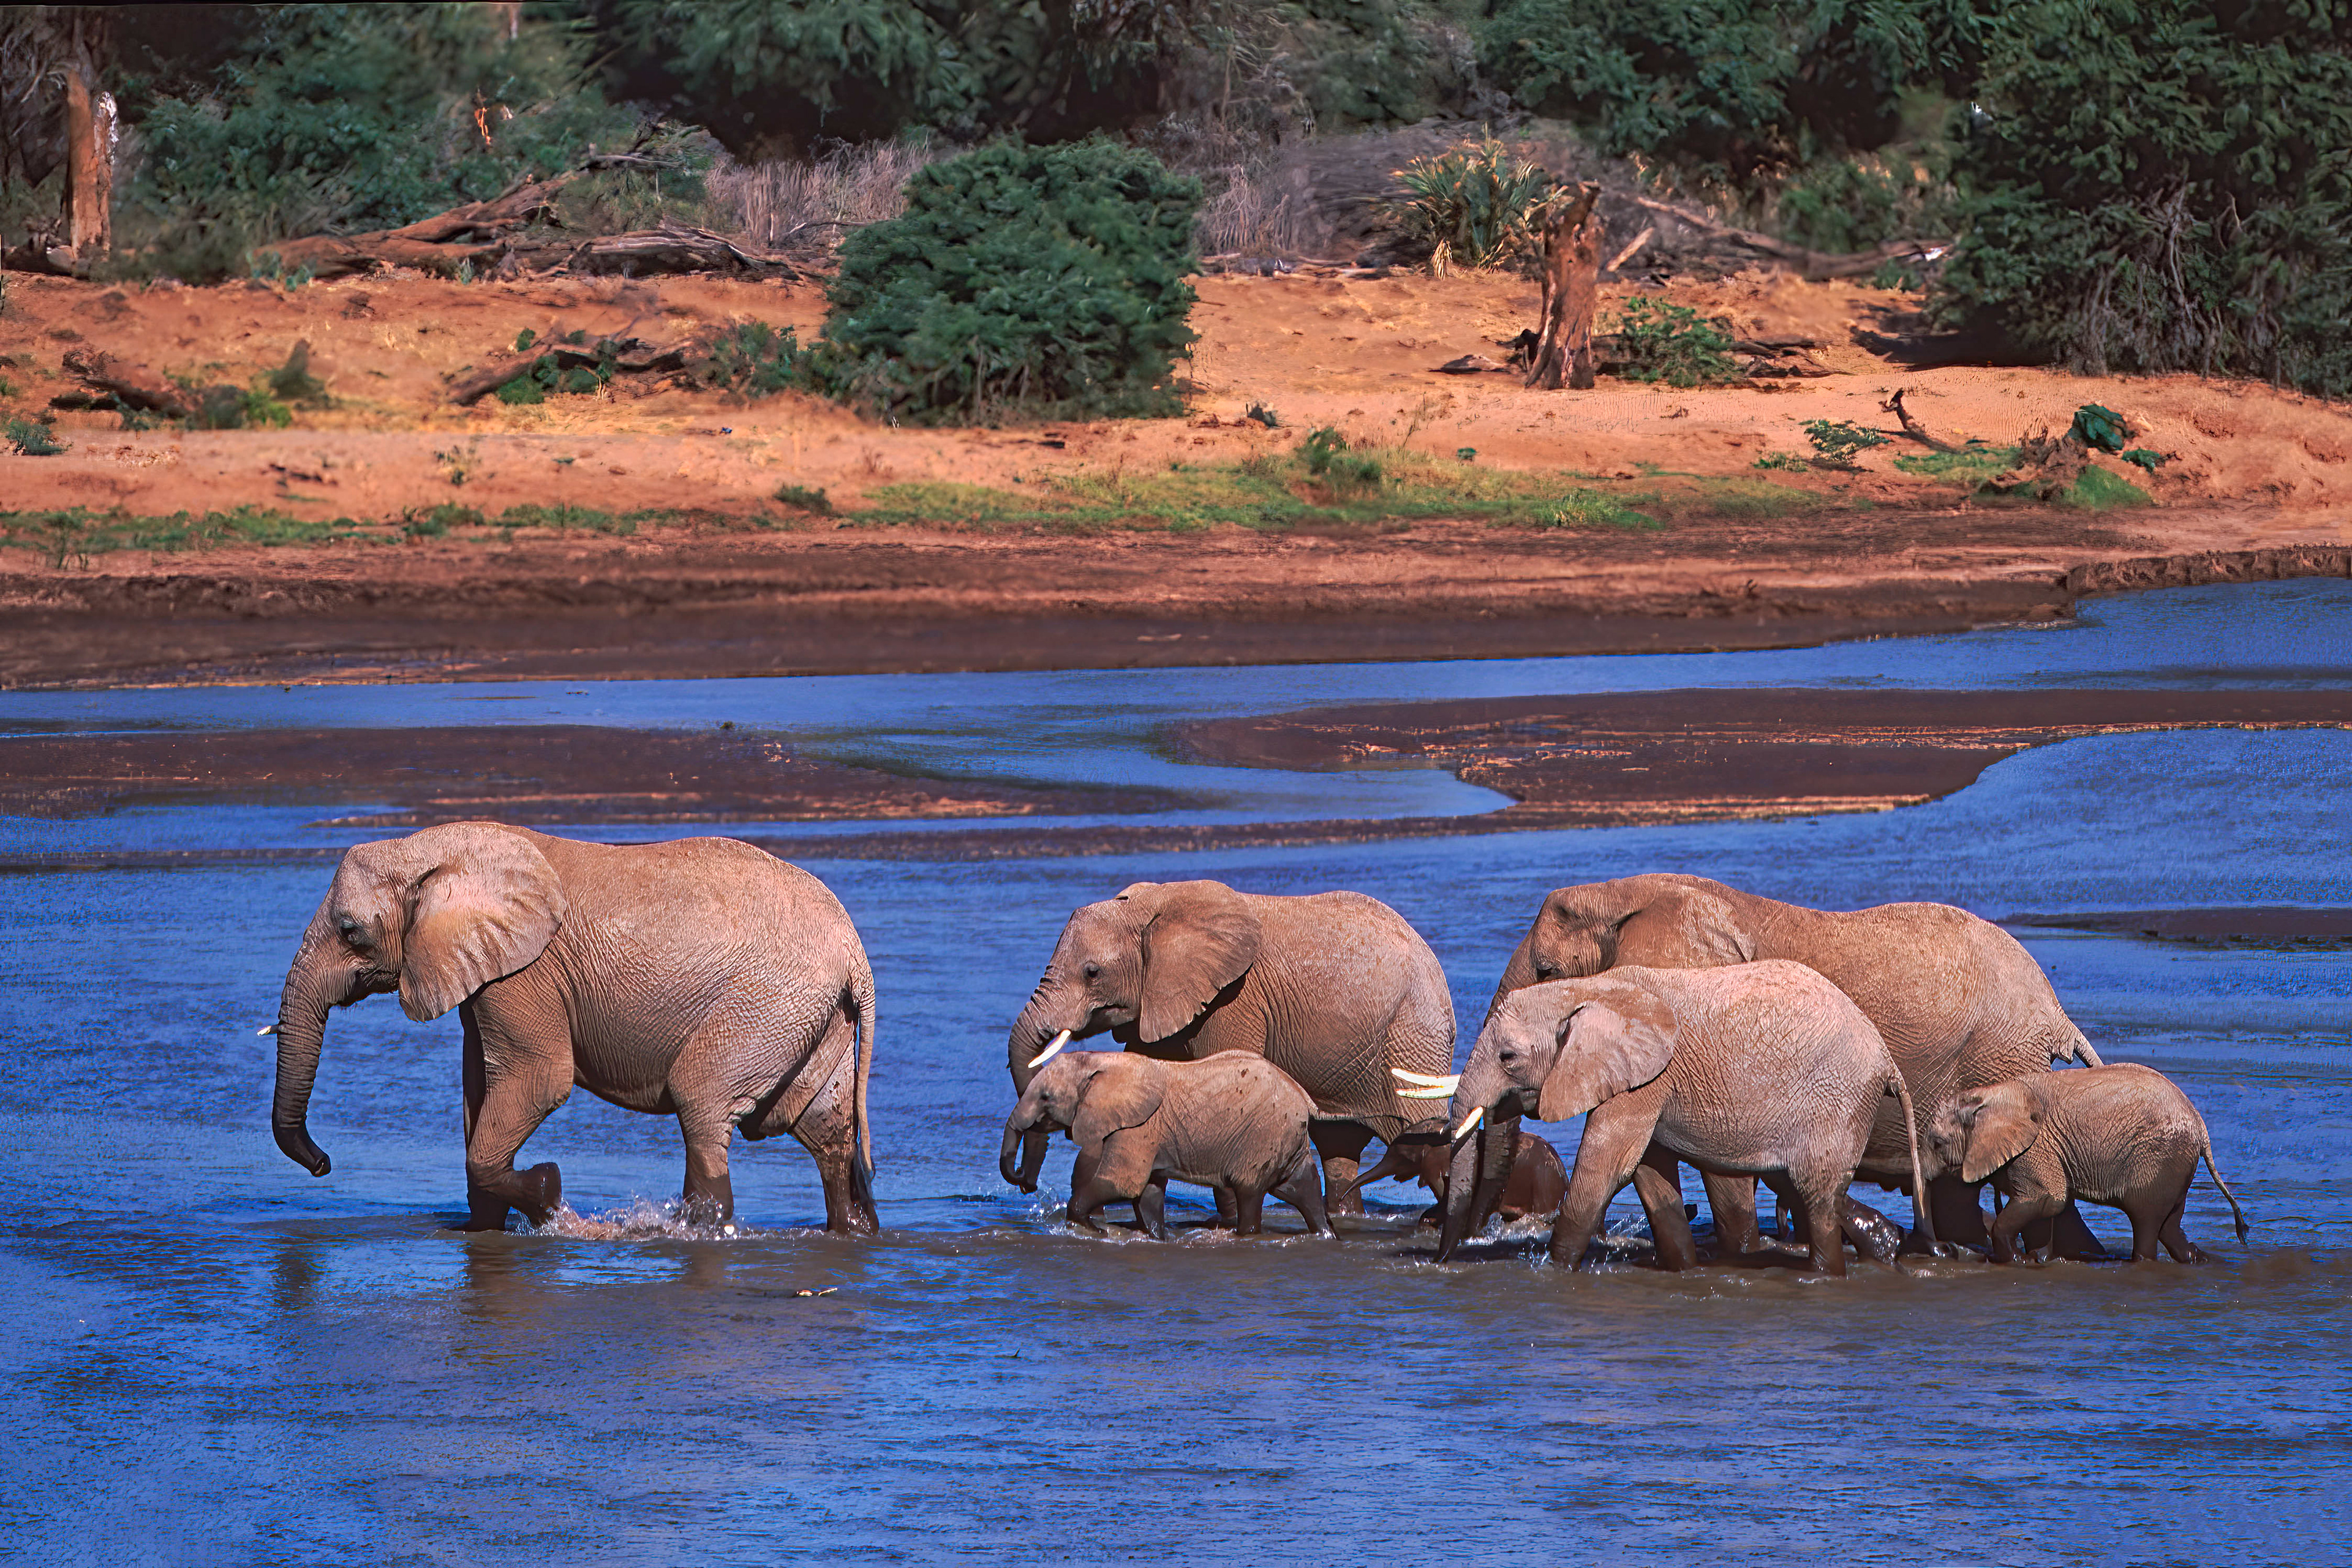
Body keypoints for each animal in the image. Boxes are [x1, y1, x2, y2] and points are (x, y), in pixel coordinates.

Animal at [268, 822, 878, 1234]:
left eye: (350, 932)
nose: (323, 1164)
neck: (436, 849)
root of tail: (855, 951)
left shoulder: (524, 973)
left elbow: (541, 1080)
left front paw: (548, 1191)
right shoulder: (487, 976)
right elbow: (477, 1091)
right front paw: (483, 1229)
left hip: (764, 1006)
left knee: (702, 1105)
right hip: (812, 1017)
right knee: (826, 1128)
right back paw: (851, 1231)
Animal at [1000, 1049, 1332, 1238]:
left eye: (1045, 1098)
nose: (1026, 1183)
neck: (1100, 1061)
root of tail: (1304, 1097)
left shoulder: (1139, 1128)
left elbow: (1122, 1184)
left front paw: (1088, 1226)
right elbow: (1147, 1194)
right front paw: (1156, 1238)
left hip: (1262, 1136)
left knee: (1250, 1193)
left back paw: (1247, 1235)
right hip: (1284, 1137)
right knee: (1303, 1189)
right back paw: (1326, 1235)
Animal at [1005, 880, 1453, 1217]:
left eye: (1092, 972)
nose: (1027, 1186)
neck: (1154, 906)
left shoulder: (1235, 1000)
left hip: (1412, 1036)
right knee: (1340, 1149)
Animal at [1435, 962, 1937, 1275]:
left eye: (1508, 1057)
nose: (1441, 1261)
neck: (1590, 987)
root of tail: (1886, 1059)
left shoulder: (1646, 1080)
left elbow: (1608, 1164)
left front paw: (1556, 1271)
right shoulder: (1647, 1082)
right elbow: (1649, 1174)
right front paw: (1684, 1268)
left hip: (1836, 1101)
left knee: (1816, 1198)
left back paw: (1826, 1275)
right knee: (1800, 1186)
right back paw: (1886, 1246)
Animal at [1927, 1064, 2249, 1263]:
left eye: (1937, 1143)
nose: (1943, 1249)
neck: (1990, 1093)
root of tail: (2201, 1128)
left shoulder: (2036, 1147)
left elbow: (2046, 1199)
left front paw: (2016, 1260)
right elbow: (2049, 1206)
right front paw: (2037, 1260)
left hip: (2159, 1158)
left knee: (2147, 1224)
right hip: (2176, 1164)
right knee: (2169, 1226)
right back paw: (2204, 1260)